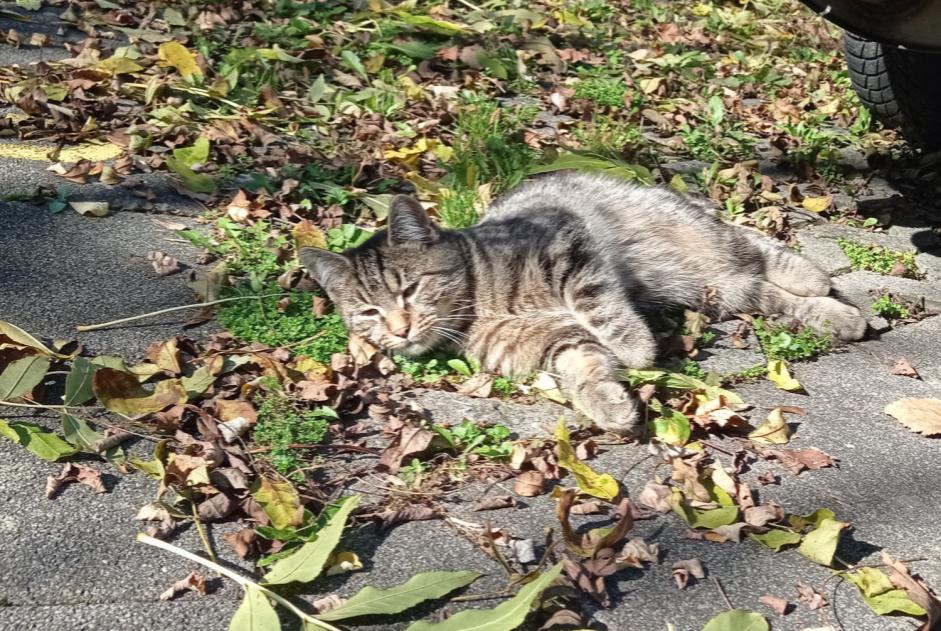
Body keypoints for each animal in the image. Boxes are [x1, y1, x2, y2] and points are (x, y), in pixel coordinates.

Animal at [302, 173, 868, 440]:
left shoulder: (566, 245)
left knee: (754, 248)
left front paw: (634, 347)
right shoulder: (545, 341)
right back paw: (836, 315)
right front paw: (609, 403)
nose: (399, 330)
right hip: (710, 288)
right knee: (761, 290)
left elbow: (598, 304)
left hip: (698, 245)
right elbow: (582, 365)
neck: (478, 301)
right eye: (369, 313)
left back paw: (813, 277)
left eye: (410, 290)